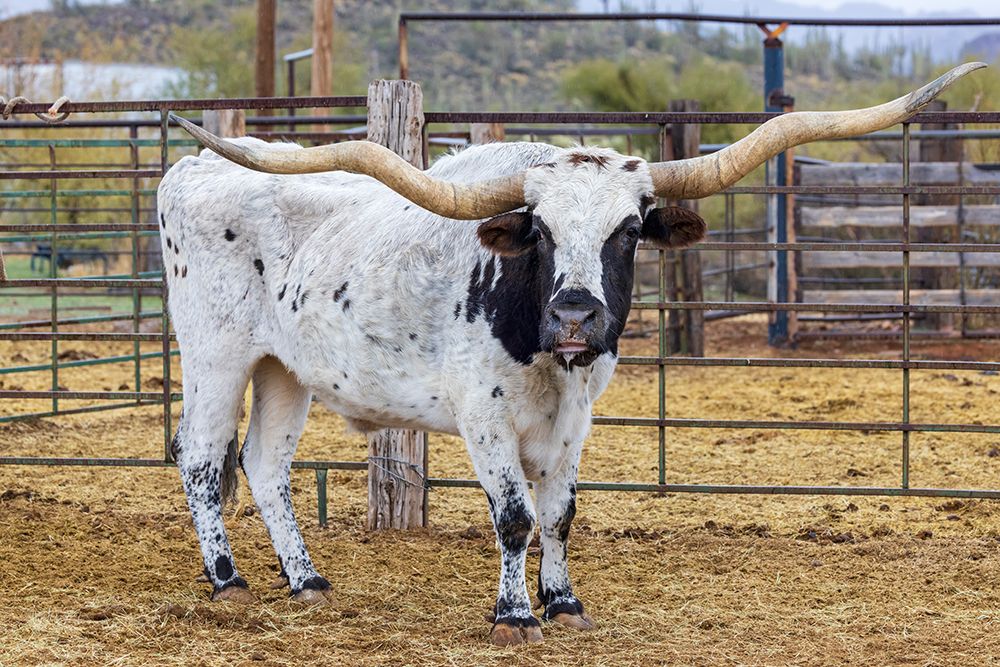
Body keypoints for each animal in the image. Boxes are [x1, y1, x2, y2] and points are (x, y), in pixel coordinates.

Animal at [158, 64, 982, 646]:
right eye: (540, 229)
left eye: (630, 229)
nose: (577, 314)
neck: (544, 356)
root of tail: (194, 168)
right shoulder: (482, 417)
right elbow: (515, 516)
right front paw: (514, 616)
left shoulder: (577, 417)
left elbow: (560, 513)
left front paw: (562, 601)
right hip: (215, 355)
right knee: (200, 458)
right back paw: (227, 579)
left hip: (283, 369)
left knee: (264, 463)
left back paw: (306, 581)